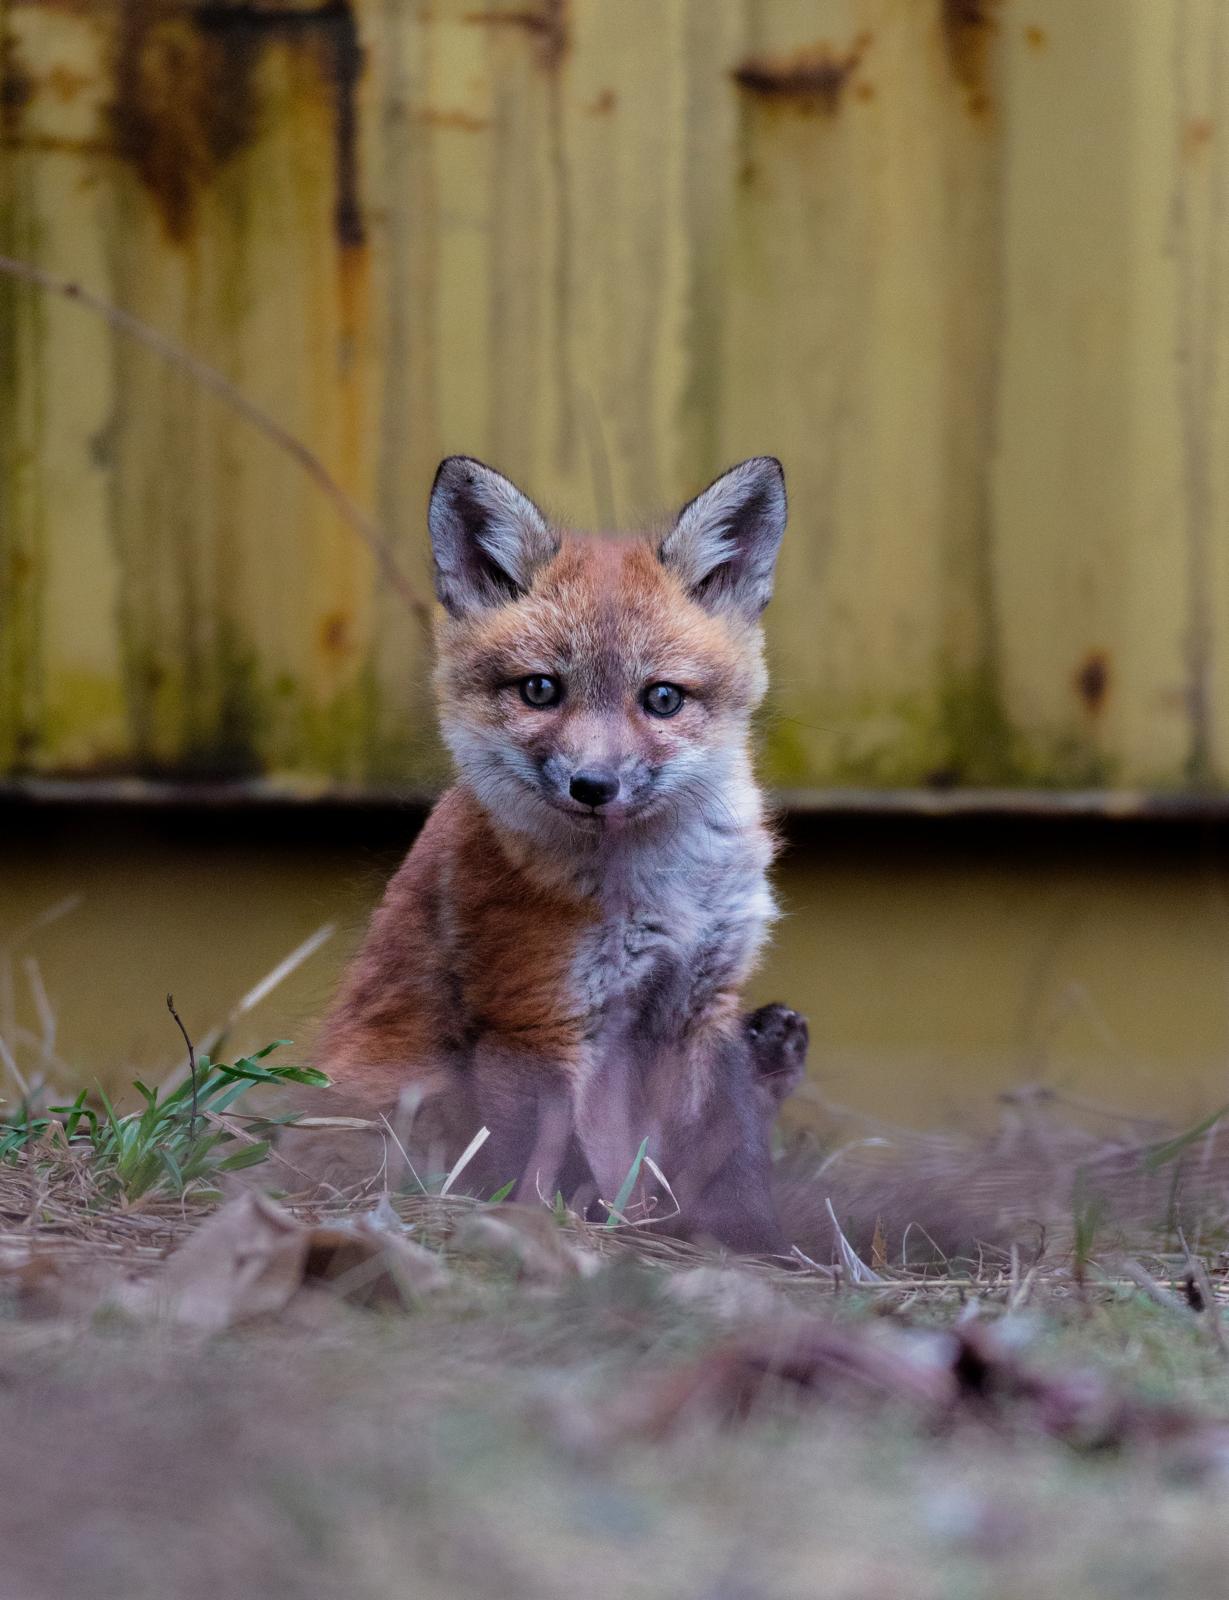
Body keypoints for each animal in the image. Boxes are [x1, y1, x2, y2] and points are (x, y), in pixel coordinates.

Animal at [312, 454, 806, 1253]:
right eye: (541, 689)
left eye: (662, 699)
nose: (593, 786)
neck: (661, 888)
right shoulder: (535, 1017)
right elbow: (561, 1160)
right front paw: (562, 1233)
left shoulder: (701, 1004)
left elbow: (728, 1150)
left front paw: (748, 1239)